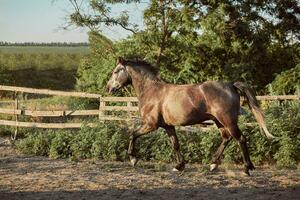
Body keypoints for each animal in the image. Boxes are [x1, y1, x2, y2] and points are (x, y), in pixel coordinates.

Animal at [106, 57, 274, 175]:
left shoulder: (150, 125)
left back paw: (247, 168)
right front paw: (179, 166)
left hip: (228, 121)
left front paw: (133, 159)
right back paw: (213, 164)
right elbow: (175, 144)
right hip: (219, 122)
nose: (108, 88)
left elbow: (133, 134)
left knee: (241, 139)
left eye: (116, 71)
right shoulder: (168, 126)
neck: (152, 91)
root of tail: (231, 85)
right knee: (226, 138)